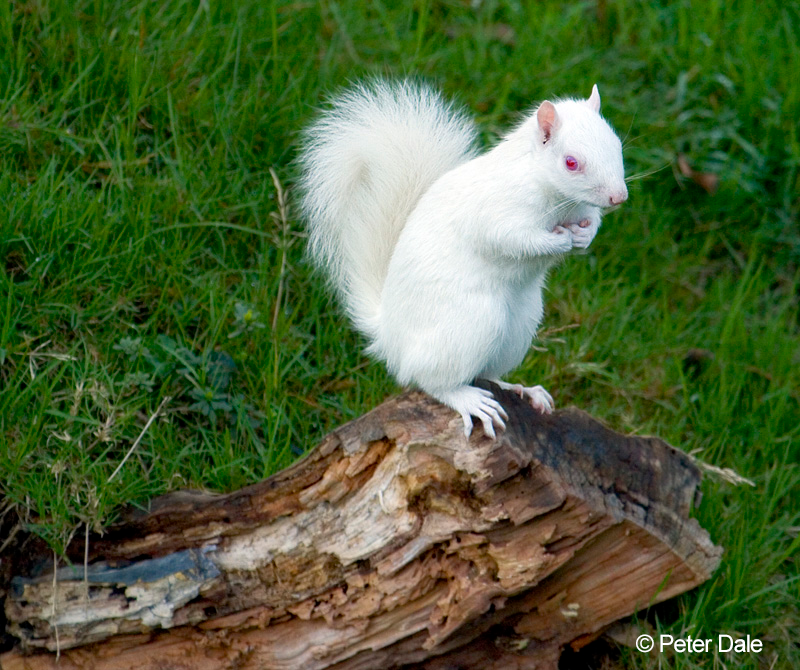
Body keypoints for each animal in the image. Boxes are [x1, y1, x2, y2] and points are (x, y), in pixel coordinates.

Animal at [298, 79, 627, 438]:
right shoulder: (496, 212)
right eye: (571, 162)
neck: (557, 198)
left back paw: (521, 389)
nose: (619, 197)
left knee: (485, 372)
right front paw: (559, 240)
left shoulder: (582, 210)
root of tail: (391, 337)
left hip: (518, 328)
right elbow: (512, 238)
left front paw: (584, 236)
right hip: (474, 323)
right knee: (432, 381)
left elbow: (591, 221)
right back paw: (468, 399)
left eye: (616, 144)